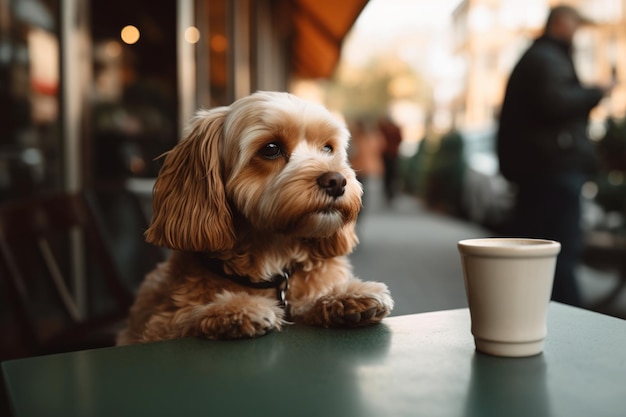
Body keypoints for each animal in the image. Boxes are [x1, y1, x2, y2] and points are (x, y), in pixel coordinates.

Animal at [115, 92, 392, 344]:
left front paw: (345, 297)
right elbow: (183, 318)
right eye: (271, 149)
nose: (336, 181)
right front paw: (231, 310)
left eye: (327, 148)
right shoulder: (156, 327)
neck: (274, 254)